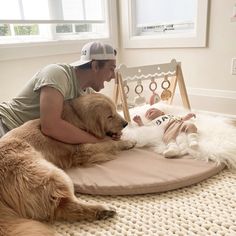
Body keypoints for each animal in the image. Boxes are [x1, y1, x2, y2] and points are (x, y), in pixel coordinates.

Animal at [0, 93, 136, 235]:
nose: (125, 123)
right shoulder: (83, 149)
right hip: (52, 174)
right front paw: (127, 143)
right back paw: (102, 209)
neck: (78, 117)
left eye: (116, 109)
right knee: (67, 204)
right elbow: (109, 143)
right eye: (109, 116)